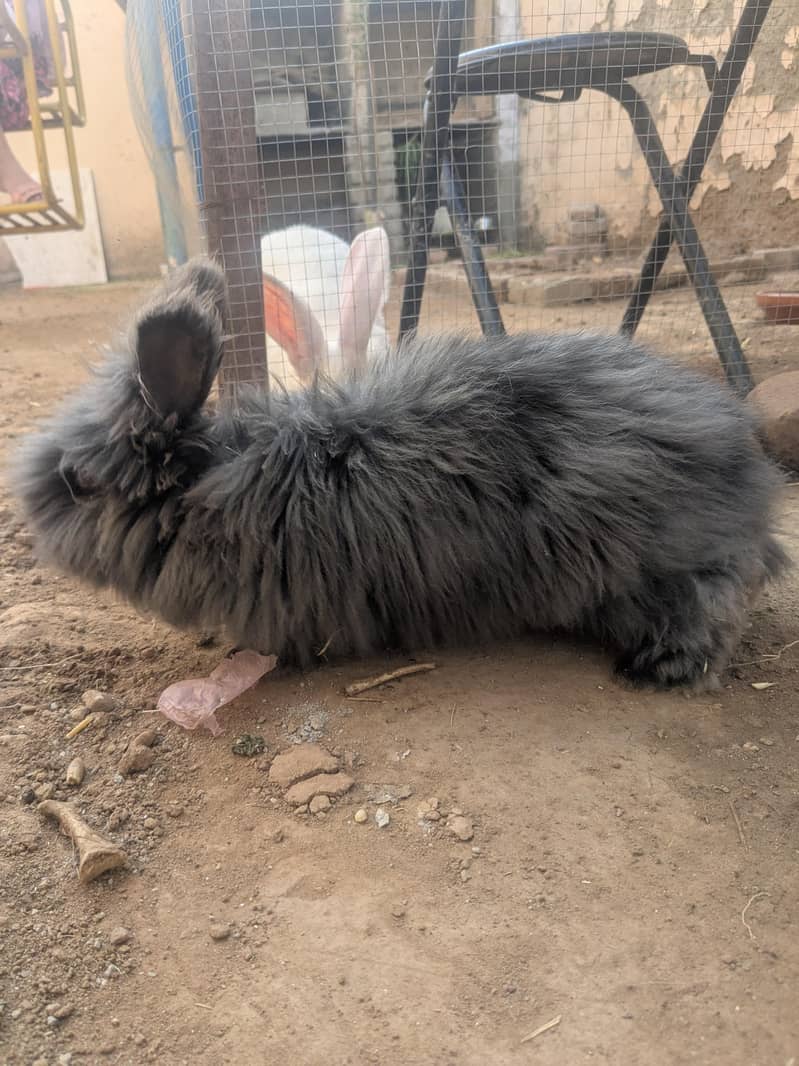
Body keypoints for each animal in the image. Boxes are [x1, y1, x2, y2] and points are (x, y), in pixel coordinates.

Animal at [11, 257, 788, 689]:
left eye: (75, 483)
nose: (25, 513)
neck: (213, 482)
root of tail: (748, 472)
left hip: (655, 571)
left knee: (714, 603)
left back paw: (660, 669)